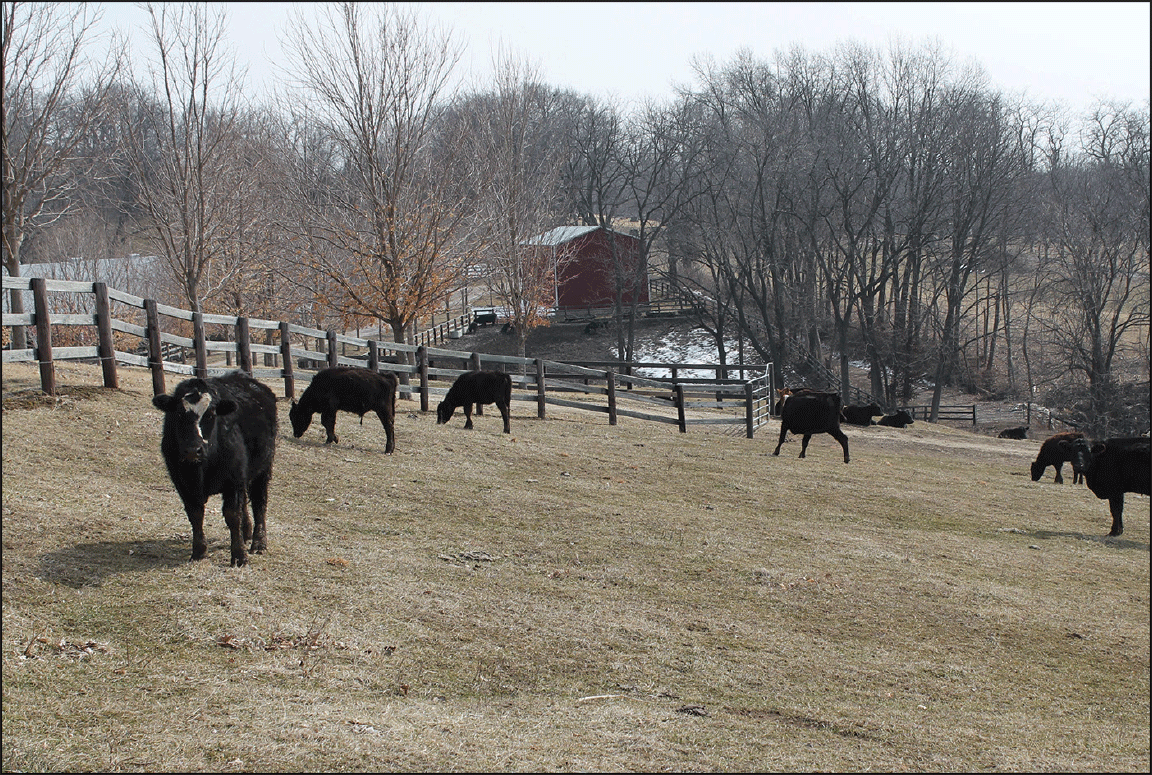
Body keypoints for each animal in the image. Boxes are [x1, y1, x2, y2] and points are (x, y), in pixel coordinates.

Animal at [152, 371, 277, 567]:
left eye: (210, 414)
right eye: (179, 413)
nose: (192, 450)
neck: (202, 469)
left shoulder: (233, 479)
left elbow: (232, 515)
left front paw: (239, 556)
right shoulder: (182, 482)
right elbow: (195, 514)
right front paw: (199, 551)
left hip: (263, 469)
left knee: (259, 503)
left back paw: (258, 542)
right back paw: (246, 532)